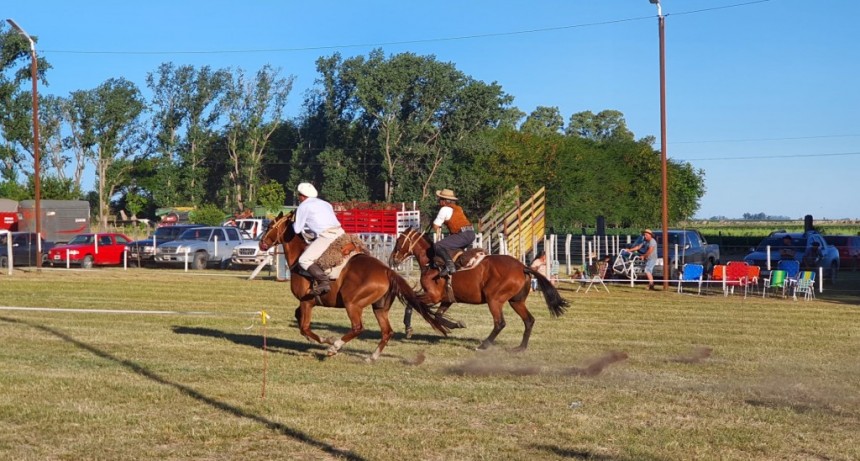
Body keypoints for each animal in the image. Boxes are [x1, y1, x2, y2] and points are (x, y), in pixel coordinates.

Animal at [258, 212, 450, 360]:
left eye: (269, 227)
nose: (261, 244)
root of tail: (387, 271)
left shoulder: (307, 302)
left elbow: (305, 326)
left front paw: (326, 340)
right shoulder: (305, 303)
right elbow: (299, 319)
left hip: (352, 303)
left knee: (358, 327)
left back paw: (334, 347)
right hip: (379, 307)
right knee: (387, 332)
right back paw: (371, 357)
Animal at [392, 227, 572, 352]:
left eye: (399, 241)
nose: (393, 259)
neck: (431, 263)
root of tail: (523, 267)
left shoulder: (433, 296)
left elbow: (411, 303)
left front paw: (408, 328)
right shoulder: (446, 299)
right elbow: (437, 315)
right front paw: (456, 324)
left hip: (494, 300)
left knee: (500, 323)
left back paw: (483, 345)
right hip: (516, 301)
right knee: (529, 320)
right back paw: (520, 348)